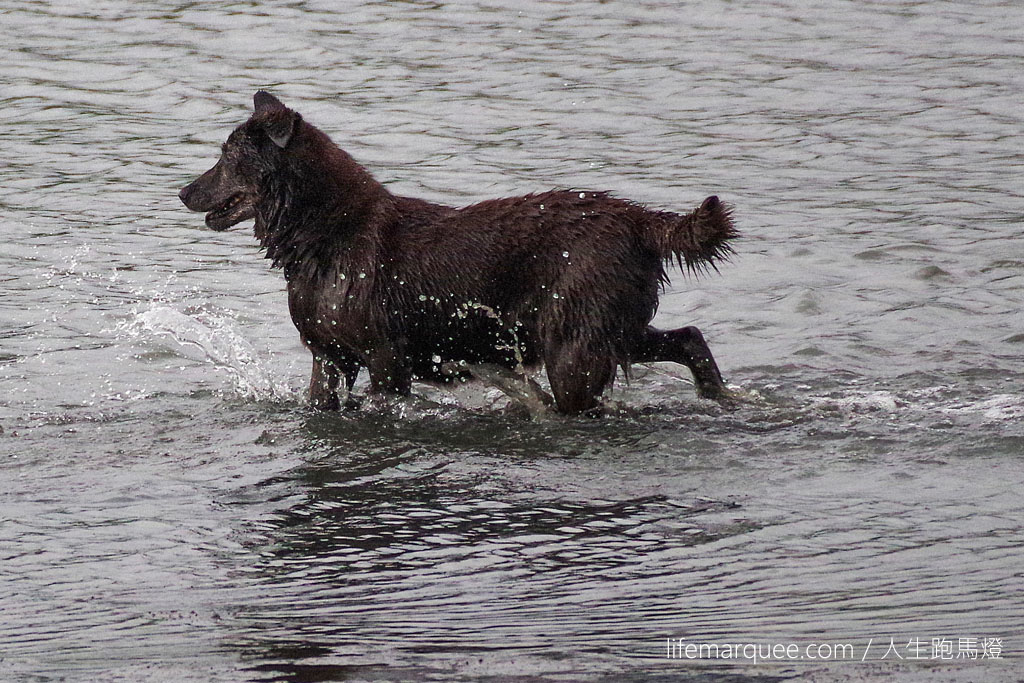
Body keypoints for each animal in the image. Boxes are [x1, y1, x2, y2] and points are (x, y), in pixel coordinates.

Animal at [178, 89, 737, 411]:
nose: (183, 192)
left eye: (226, 155)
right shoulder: (328, 357)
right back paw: (719, 396)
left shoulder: (386, 358)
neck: (325, 238)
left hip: (574, 344)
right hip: (609, 325)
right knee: (687, 337)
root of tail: (637, 217)